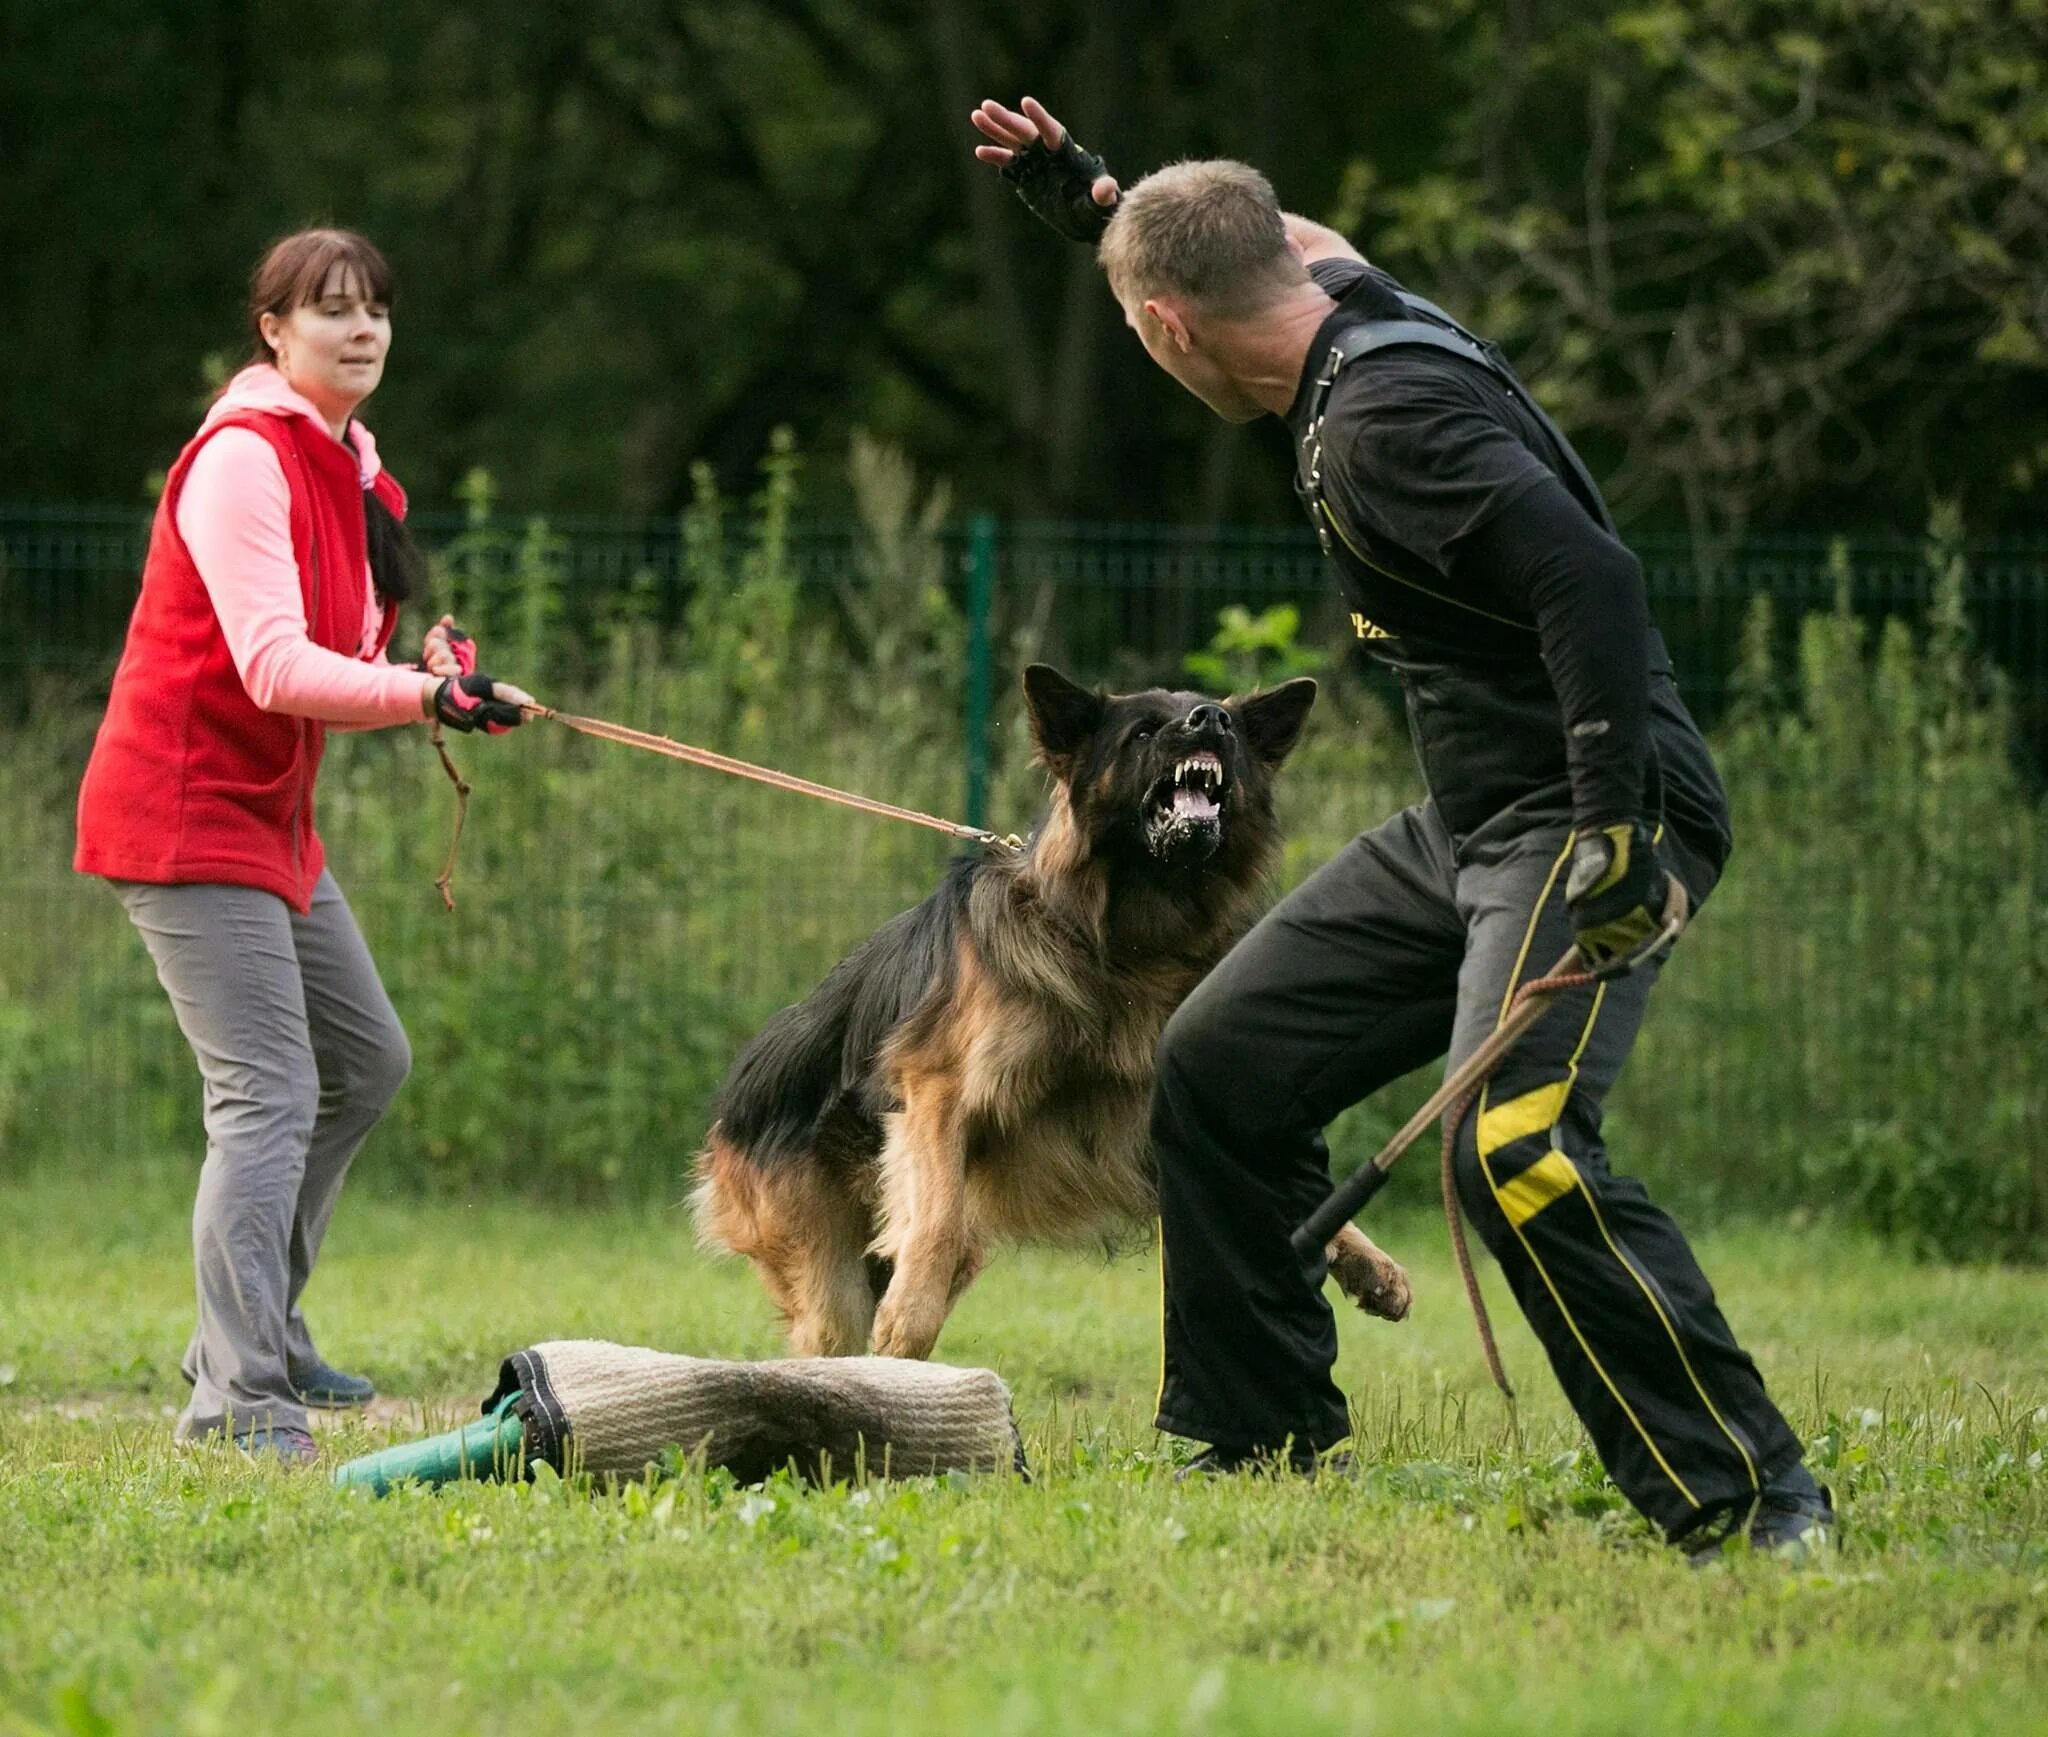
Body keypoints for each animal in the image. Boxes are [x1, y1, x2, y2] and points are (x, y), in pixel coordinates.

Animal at [688, 663, 1409, 1360]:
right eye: (1144, 731)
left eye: (1226, 724)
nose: (1210, 721)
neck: (1127, 944)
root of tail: (735, 1094)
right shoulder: (936, 1090)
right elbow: (936, 1219)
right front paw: (907, 1319)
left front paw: (1364, 1259)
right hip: (826, 1268)